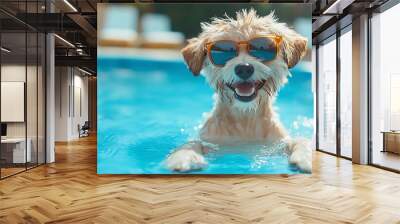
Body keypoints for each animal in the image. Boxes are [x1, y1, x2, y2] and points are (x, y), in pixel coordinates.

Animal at [166, 8, 312, 173]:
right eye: (223, 52)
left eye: (262, 47)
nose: (244, 68)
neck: (245, 118)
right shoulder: (212, 143)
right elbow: (191, 143)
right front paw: (184, 156)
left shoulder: (275, 145)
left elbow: (301, 140)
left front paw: (305, 157)